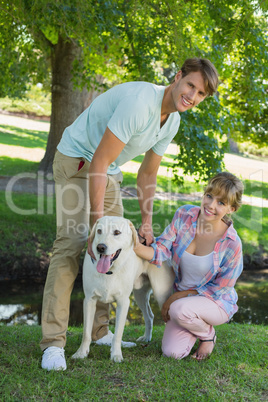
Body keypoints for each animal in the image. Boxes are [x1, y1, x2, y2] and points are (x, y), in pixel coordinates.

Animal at [72, 217, 175, 364]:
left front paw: (116, 355)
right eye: (99, 231)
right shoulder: (89, 301)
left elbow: (118, 334)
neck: (109, 271)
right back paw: (146, 338)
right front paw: (81, 353)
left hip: (161, 295)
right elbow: (86, 332)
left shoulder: (123, 302)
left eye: (117, 232)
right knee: (149, 315)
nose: (100, 247)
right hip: (139, 295)